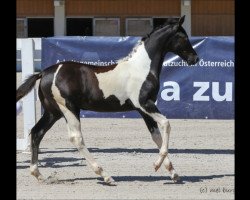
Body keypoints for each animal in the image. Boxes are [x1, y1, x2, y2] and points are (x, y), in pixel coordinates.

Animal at [16, 16, 199, 184]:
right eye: (183, 37)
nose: (195, 58)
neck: (141, 68)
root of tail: (44, 72)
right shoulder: (144, 104)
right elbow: (166, 124)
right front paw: (157, 165)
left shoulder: (144, 110)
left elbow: (156, 136)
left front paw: (173, 173)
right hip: (68, 108)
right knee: (76, 138)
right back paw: (105, 175)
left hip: (52, 112)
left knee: (37, 132)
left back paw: (38, 174)